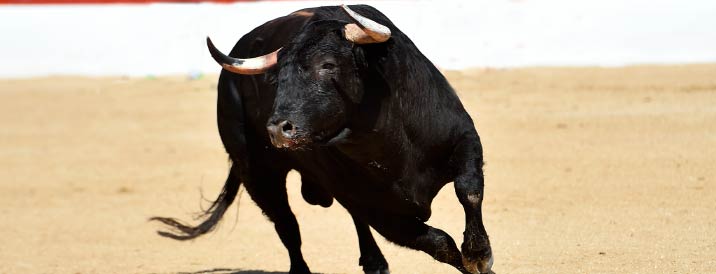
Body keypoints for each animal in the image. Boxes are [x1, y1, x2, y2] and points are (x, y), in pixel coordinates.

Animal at [152, 4, 492, 274]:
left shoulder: (463, 138)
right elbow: (438, 242)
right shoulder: (380, 210)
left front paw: (479, 254)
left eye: (327, 65)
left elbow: (468, 190)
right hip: (258, 175)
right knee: (287, 226)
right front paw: (475, 260)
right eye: (277, 77)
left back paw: (375, 264)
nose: (277, 129)